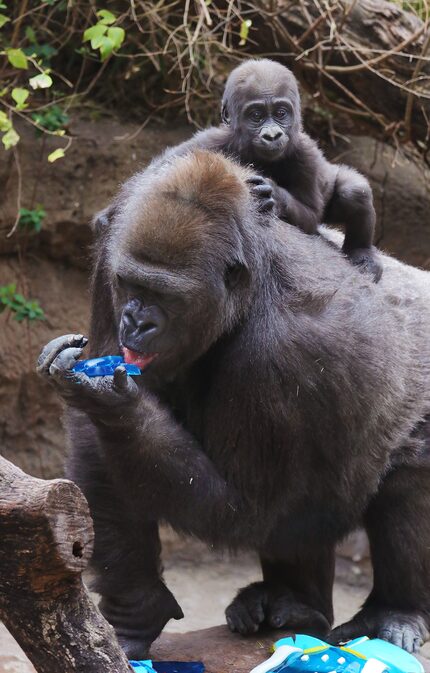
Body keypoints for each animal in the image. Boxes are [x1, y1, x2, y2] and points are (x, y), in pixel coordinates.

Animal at [37, 148, 430, 656]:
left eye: (165, 296)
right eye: (131, 285)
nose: (136, 323)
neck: (249, 288)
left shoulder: (283, 351)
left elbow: (246, 509)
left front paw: (114, 406)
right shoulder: (111, 253)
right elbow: (97, 442)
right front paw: (135, 608)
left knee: (405, 476)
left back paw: (393, 610)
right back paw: (295, 602)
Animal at [156, 55, 382, 280]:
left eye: (281, 113)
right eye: (256, 115)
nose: (272, 135)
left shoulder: (305, 153)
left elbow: (311, 215)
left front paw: (275, 195)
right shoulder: (212, 141)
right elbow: (162, 168)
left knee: (354, 192)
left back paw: (362, 253)